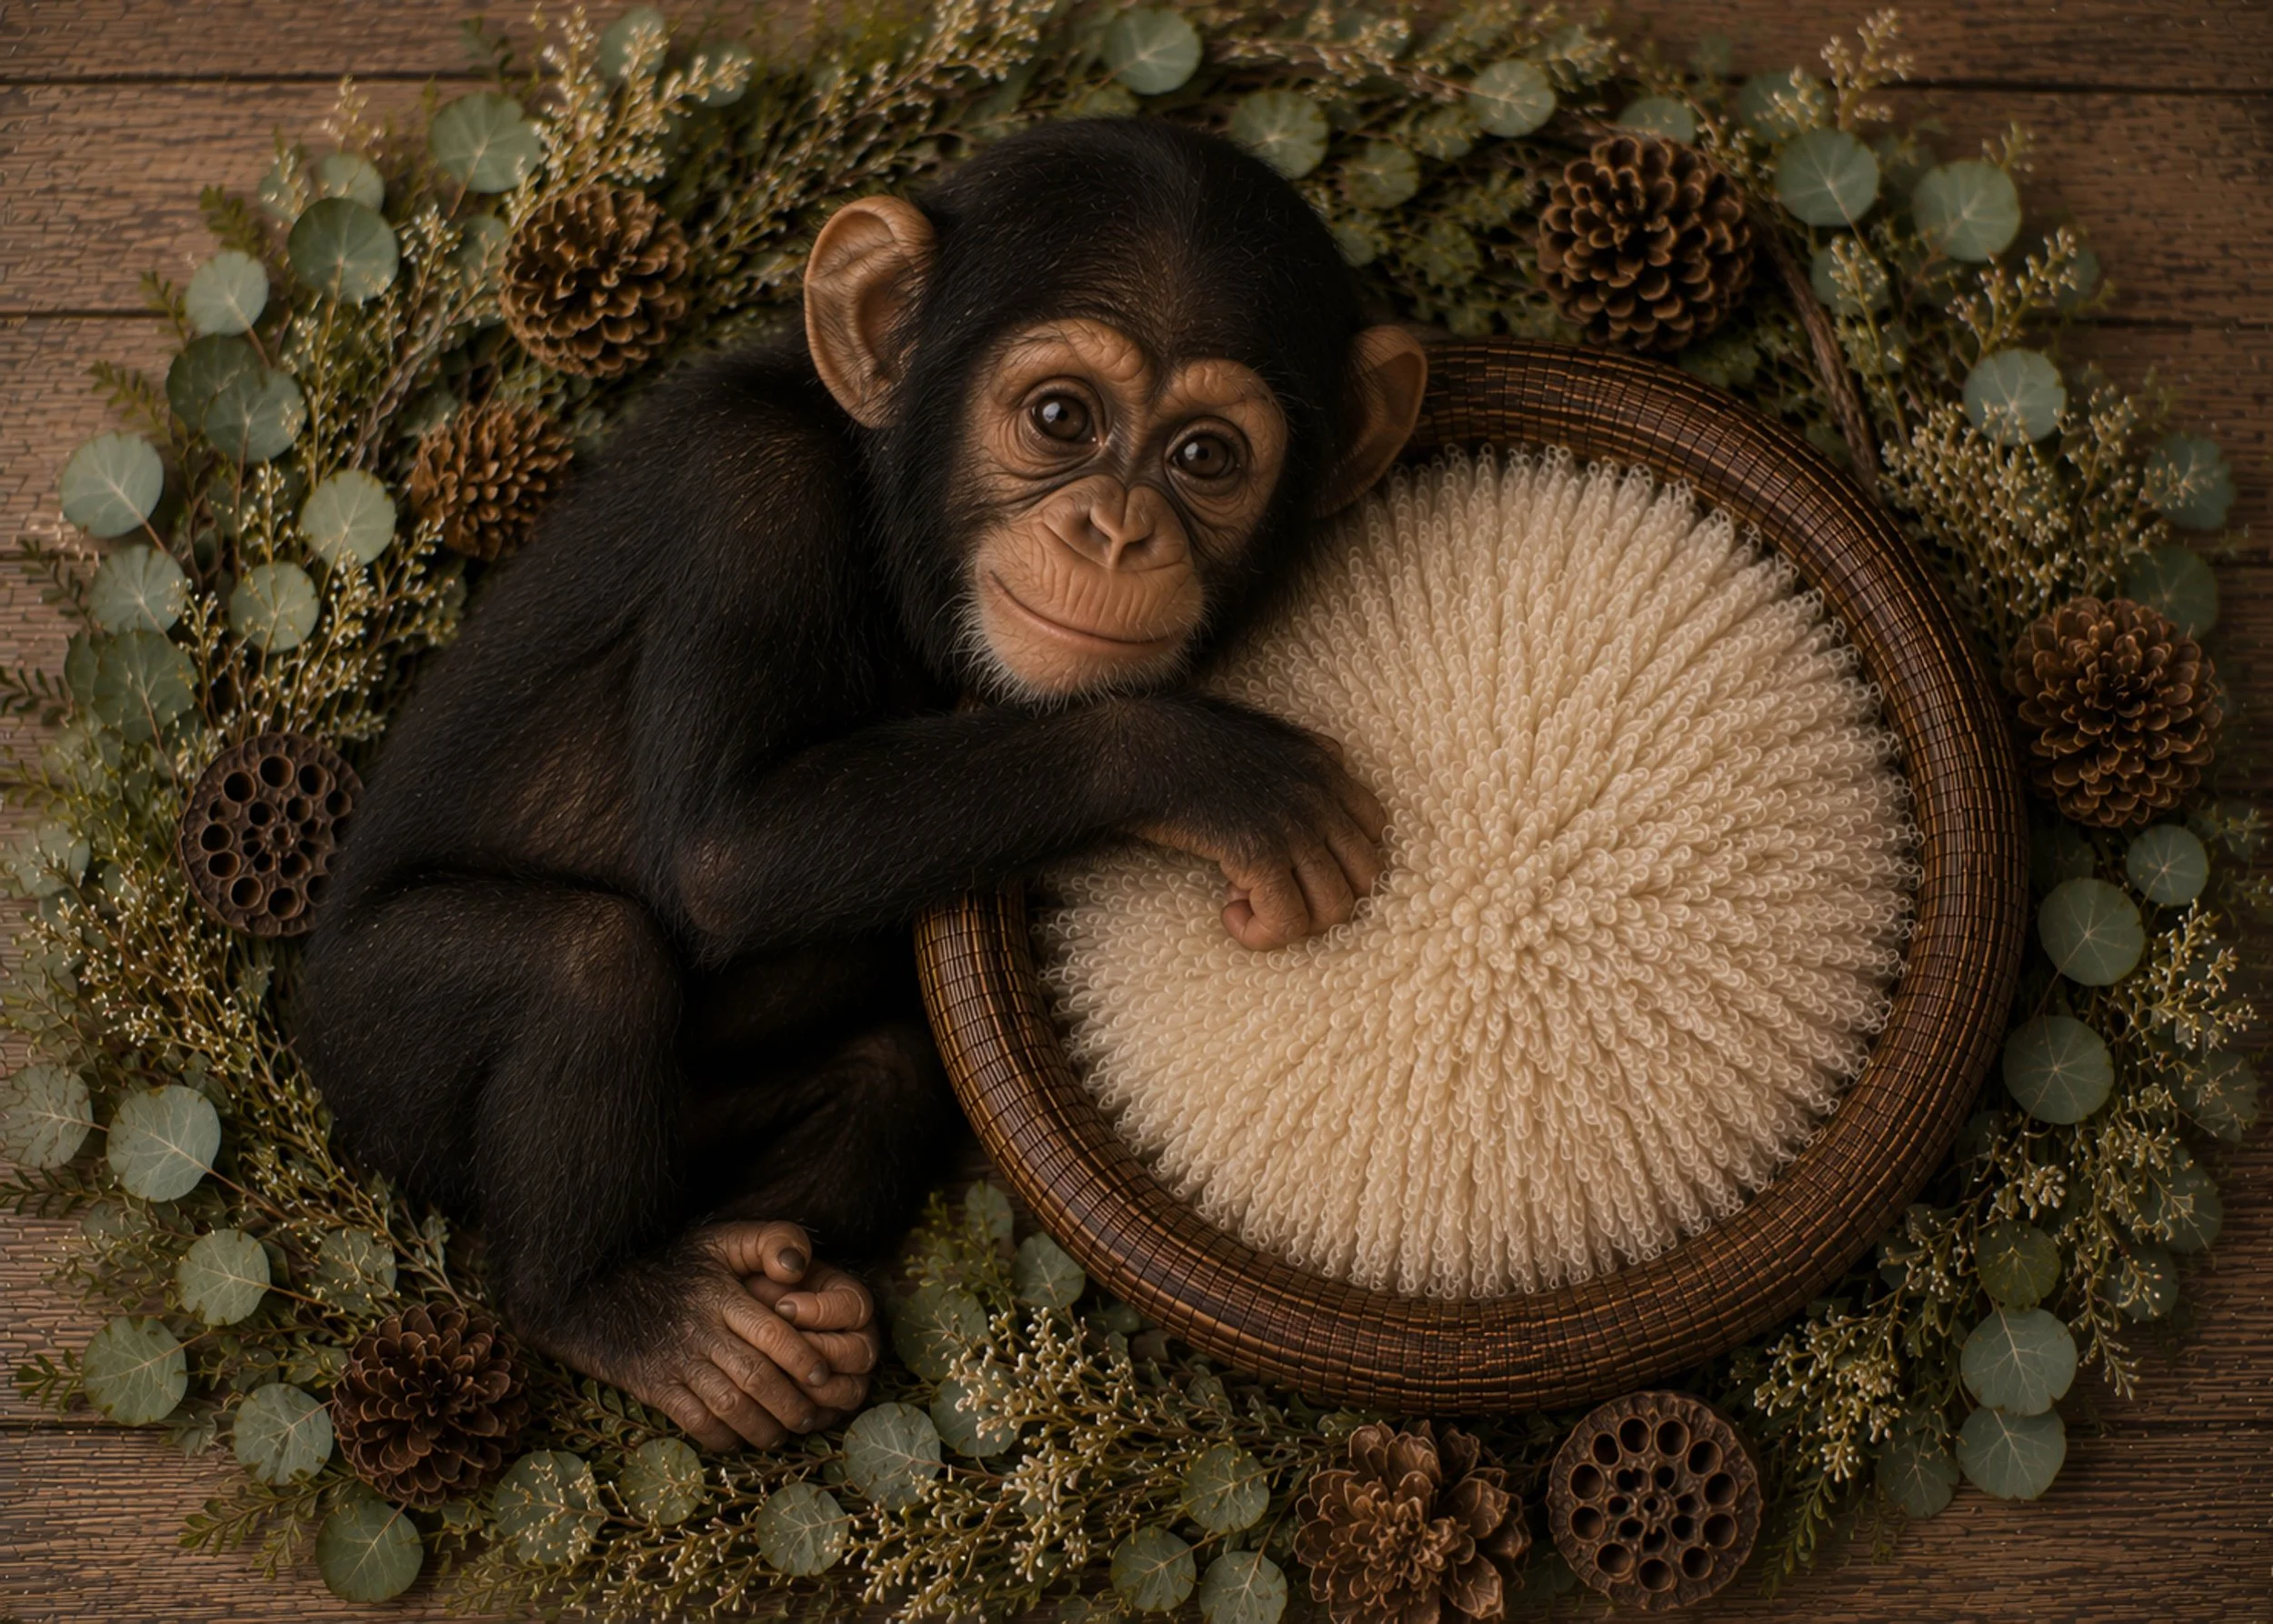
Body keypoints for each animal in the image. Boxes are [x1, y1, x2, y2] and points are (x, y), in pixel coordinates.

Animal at [296, 117, 1428, 1453]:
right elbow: (725, 850)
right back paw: (614, 1305)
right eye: (1059, 415)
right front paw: (1212, 767)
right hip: (366, 1039)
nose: (1115, 528)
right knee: (582, 960)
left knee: (885, 1071)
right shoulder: (746, 495)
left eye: (1205, 456)